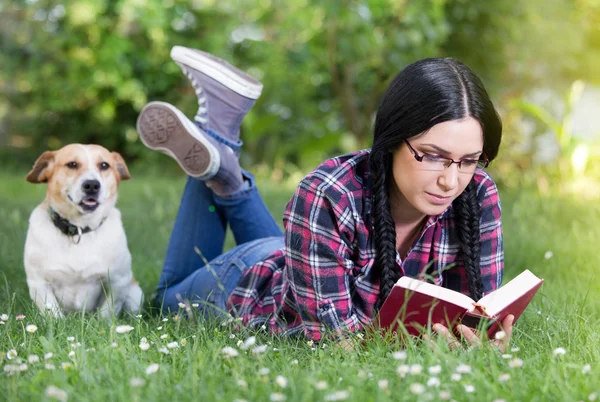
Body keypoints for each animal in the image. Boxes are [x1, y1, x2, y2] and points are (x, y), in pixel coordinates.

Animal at [23, 144, 143, 318]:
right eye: (72, 164)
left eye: (104, 165)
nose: (92, 185)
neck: (80, 228)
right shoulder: (39, 283)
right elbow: (54, 314)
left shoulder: (118, 282)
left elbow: (106, 313)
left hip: (135, 294)